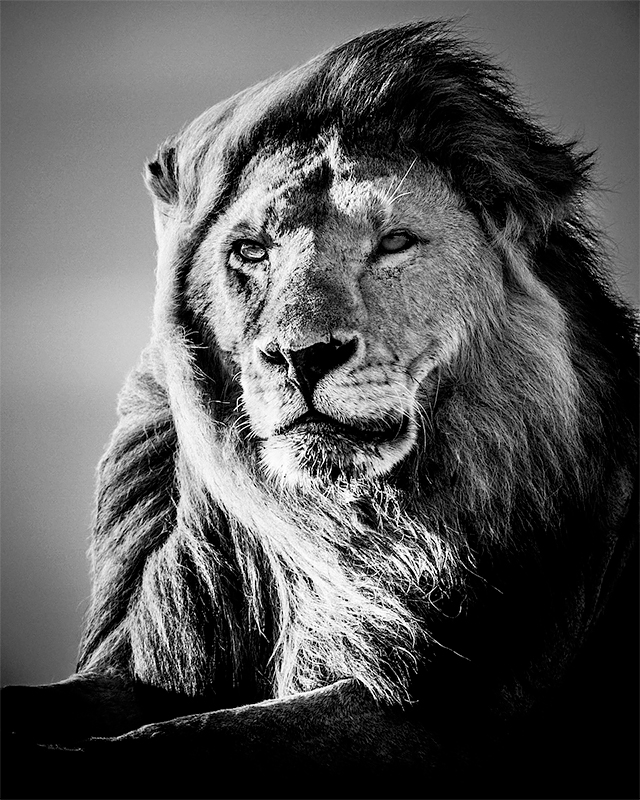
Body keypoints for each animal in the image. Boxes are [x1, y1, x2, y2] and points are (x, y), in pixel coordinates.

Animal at [2, 18, 636, 800]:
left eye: (394, 242)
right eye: (250, 251)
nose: (303, 355)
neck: (345, 529)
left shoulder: (456, 714)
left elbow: (200, 737)